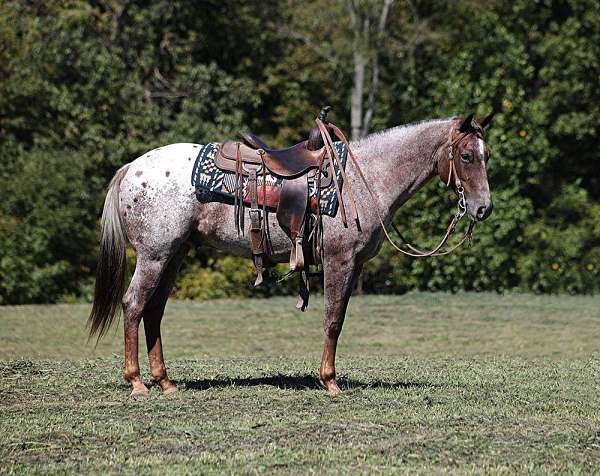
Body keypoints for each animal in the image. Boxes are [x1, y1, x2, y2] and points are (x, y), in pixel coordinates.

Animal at [88, 113, 492, 396]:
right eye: (467, 155)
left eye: (486, 155)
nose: (484, 209)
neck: (365, 180)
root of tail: (132, 169)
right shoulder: (340, 261)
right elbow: (333, 320)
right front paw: (330, 381)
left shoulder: (353, 265)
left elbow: (337, 318)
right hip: (155, 255)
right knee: (134, 304)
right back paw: (137, 383)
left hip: (175, 254)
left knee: (154, 311)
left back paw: (166, 382)